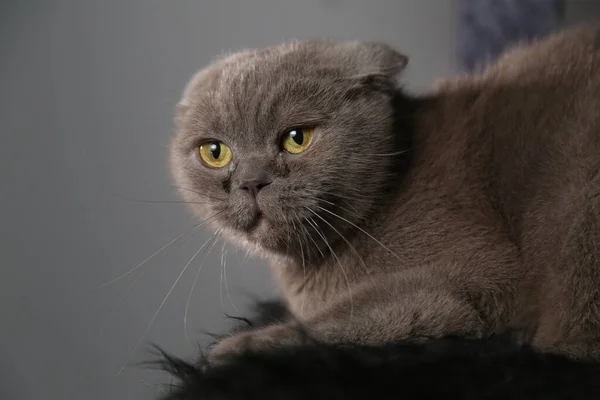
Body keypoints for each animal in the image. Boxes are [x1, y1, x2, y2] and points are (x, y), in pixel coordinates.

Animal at [168, 24, 600, 362]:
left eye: (297, 138)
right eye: (215, 152)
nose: (251, 182)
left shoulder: (482, 275)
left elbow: (346, 317)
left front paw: (232, 349)